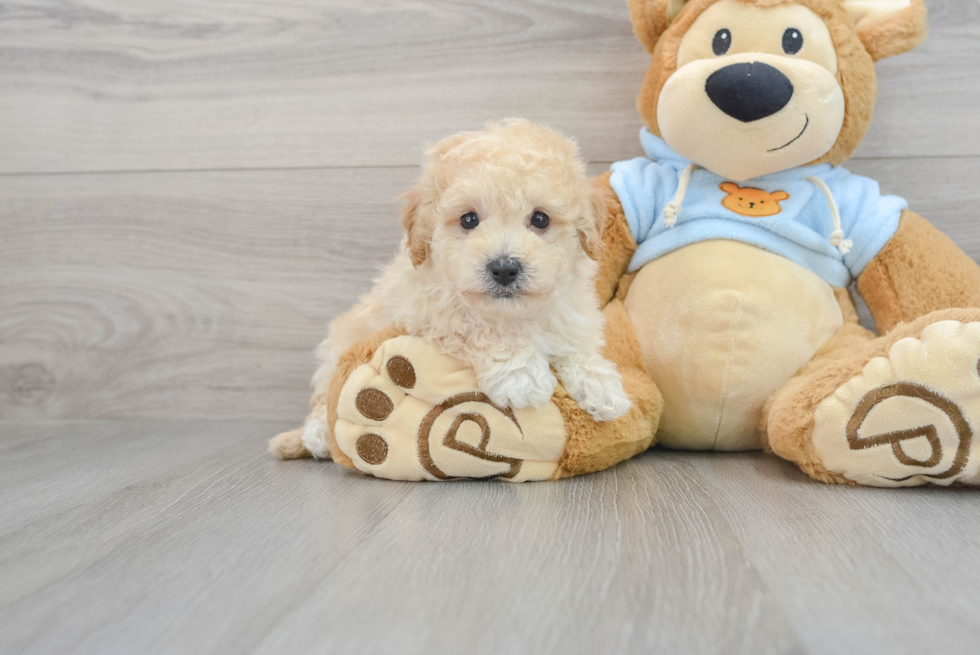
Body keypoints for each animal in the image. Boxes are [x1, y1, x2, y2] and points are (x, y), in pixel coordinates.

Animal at [288, 120, 632, 458]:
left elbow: (576, 347)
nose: (504, 268)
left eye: (540, 219)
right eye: (468, 219)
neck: (512, 315)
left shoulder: (569, 315)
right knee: (324, 397)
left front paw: (601, 385)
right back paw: (318, 435)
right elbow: (476, 328)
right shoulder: (425, 311)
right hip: (337, 350)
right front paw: (520, 374)